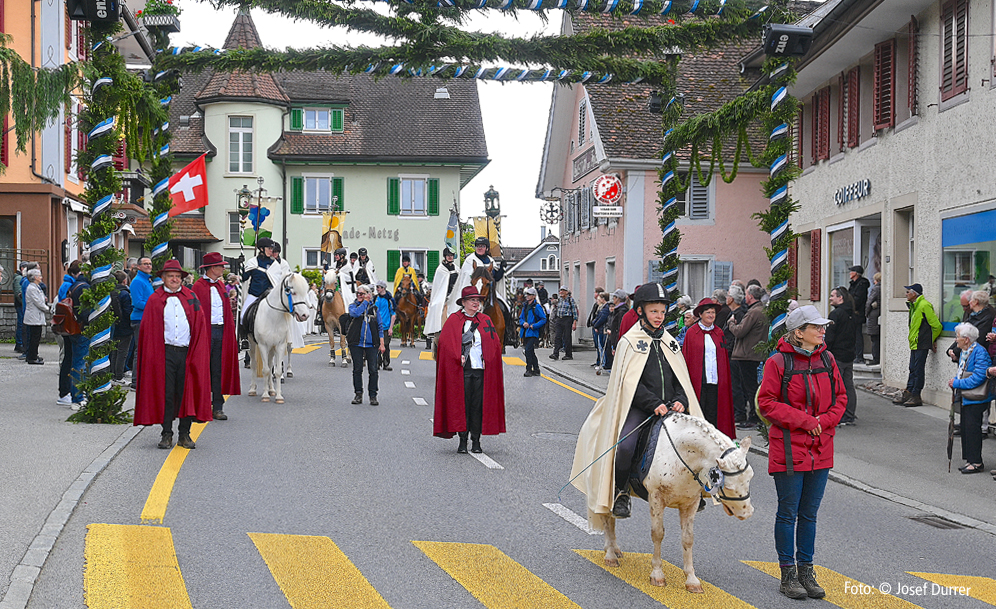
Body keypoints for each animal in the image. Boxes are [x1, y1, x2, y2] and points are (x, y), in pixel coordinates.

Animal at [247, 272, 310, 404]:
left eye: (305, 292)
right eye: (293, 292)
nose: (305, 315)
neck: (273, 317)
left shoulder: (280, 345)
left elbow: (276, 371)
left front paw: (278, 396)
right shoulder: (263, 345)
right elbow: (265, 370)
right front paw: (265, 395)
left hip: (272, 348)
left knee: (271, 364)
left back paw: (272, 389)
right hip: (252, 344)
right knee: (254, 364)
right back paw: (253, 389)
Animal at [600, 416, 756, 592]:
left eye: (751, 476)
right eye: (728, 486)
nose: (746, 513)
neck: (680, 454)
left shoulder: (691, 503)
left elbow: (688, 538)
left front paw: (692, 580)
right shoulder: (656, 498)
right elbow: (657, 534)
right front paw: (657, 574)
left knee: (611, 519)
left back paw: (615, 549)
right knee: (605, 516)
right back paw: (610, 555)